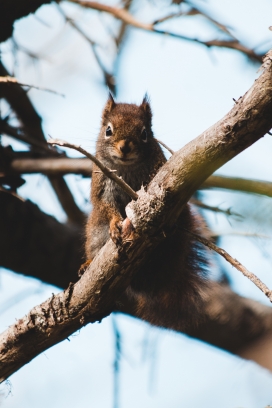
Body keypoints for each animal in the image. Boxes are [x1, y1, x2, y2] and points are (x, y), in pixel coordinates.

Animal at [85, 94, 208, 330]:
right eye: (108, 130)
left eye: (144, 134)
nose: (125, 147)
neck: (127, 167)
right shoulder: (102, 182)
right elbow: (105, 205)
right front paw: (115, 224)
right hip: (95, 231)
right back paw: (86, 265)